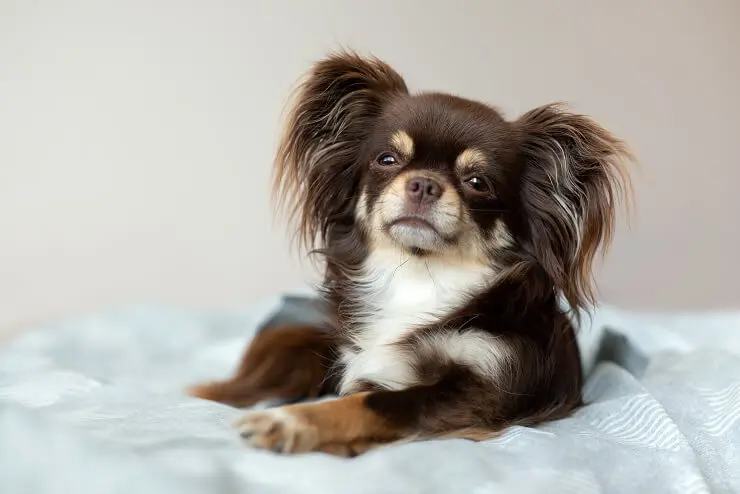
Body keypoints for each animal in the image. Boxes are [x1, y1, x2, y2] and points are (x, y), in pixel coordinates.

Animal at [188, 52, 632, 458]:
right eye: (387, 159)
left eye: (478, 183)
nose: (424, 183)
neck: (419, 274)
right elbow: (359, 395)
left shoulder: (482, 385)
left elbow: (370, 403)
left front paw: (289, 423)